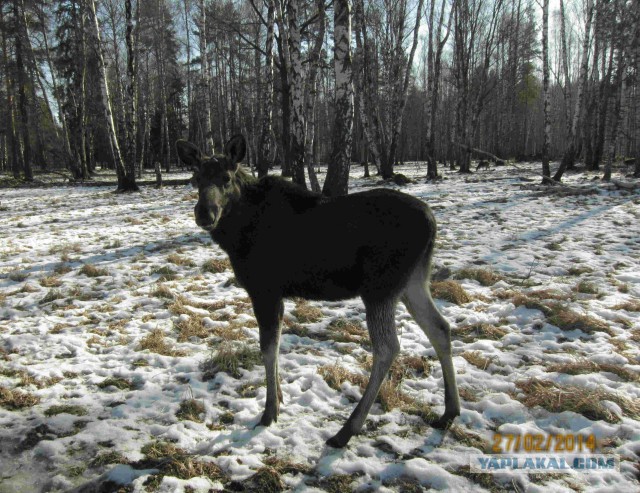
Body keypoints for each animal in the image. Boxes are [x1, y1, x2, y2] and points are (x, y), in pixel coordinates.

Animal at [178, 135, 458, 446]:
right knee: (440, 327)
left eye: (226, 178)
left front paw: (269, 411)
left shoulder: (265, 289)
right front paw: (279, 398)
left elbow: (268, 348)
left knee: (388, 347)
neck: (236, 236)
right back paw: (449, 411)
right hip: (413, 281)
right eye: (196, 179)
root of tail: (432, 222)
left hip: (380, 287)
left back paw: (347, 429)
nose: (205, 213)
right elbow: (274, 347)